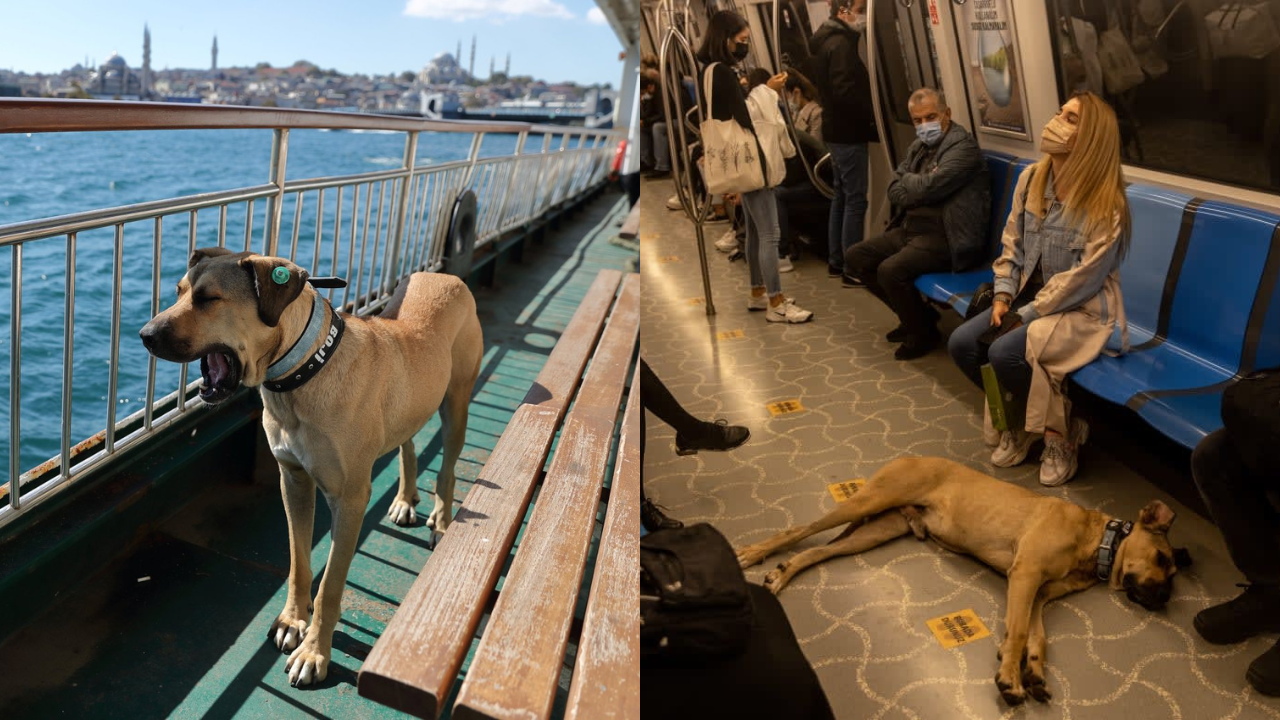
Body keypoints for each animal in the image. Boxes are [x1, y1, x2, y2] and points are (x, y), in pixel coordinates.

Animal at [137, 245, 481, 681]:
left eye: (209, 299)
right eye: (179, 291)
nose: (145, 335)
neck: (302, 373)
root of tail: (445, 277)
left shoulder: (349, 501)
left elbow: (331, 584)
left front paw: (315, 653)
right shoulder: (294, 480)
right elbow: (299, 562)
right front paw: (291, 621)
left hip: (456, 402)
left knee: (449, 468)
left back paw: (442, 520)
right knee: (408, 443)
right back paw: (405, 500)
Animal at [737, 456, 1192, 702]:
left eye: (1173, 570)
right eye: (1160, 557)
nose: (1165, 597)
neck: (1097, 542)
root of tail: (912, 455)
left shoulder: (1041, 593)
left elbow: (1036, 635)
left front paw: (1033, 671)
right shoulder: (1025, 576)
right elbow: (1019, 631)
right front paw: (1010, 677)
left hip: (878, 530)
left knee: (818, 550)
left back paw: (782, 573)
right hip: (868, 501)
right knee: (801, 529)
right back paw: (755, 553)